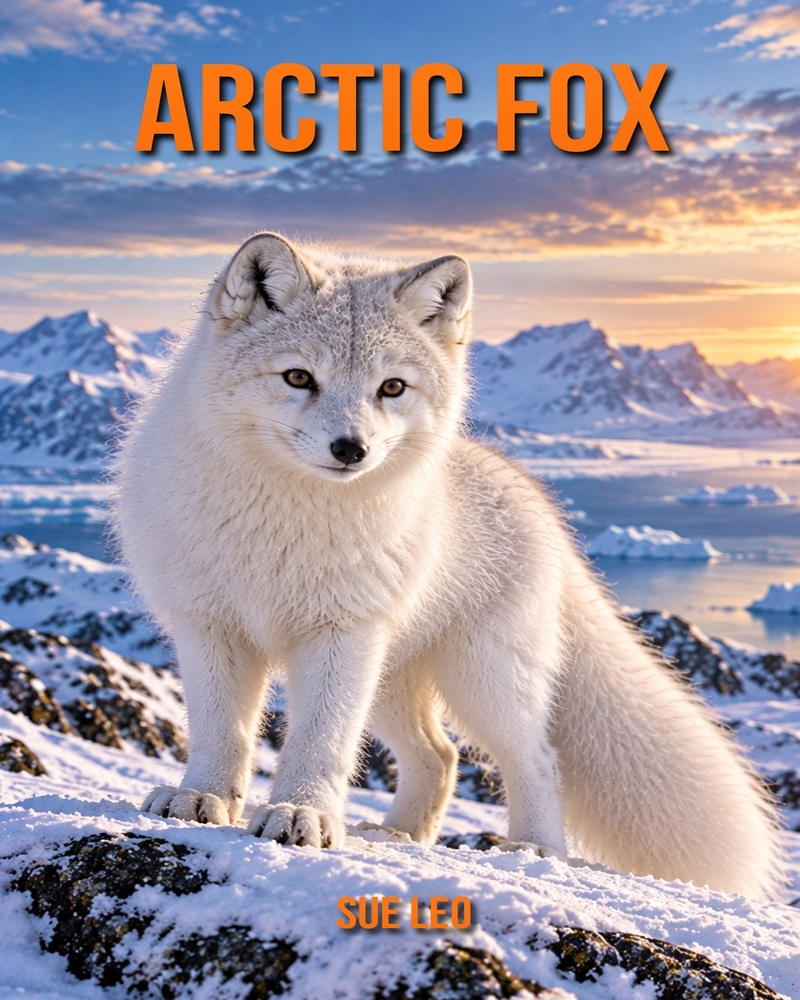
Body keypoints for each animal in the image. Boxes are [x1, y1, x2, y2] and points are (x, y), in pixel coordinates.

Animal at [114, 232, 784, 899]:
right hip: (391, 680)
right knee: (441, 757)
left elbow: (321, 740)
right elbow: (220, 731)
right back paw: (400, 835)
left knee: (537, 759)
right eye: (298, 377)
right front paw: (202, 799)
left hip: (478, 676)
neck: (286, 523)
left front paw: (302, 813)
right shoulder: (208, 626)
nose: (351, 449)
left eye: (392, 388)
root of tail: (532, 497)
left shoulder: (341, 633)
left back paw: (534, 849)